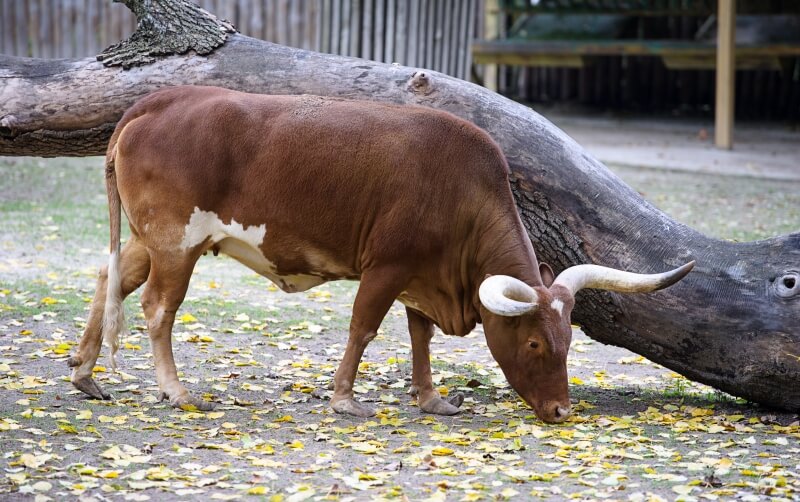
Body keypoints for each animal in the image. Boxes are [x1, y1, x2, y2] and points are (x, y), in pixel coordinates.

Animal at [67, 86, 693, 423]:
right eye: (536, 343)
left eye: (567, 340)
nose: (562, 411)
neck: (463, 192)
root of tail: (154, 102)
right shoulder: (387, 268)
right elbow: (363, 327)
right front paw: (345, 399)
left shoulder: (423, 277)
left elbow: (420, 336)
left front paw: (430, 398)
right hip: (178, 243)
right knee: (157, 307)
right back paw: (175, 390)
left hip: (150, 240)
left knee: (109, 276)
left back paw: (85, 373)